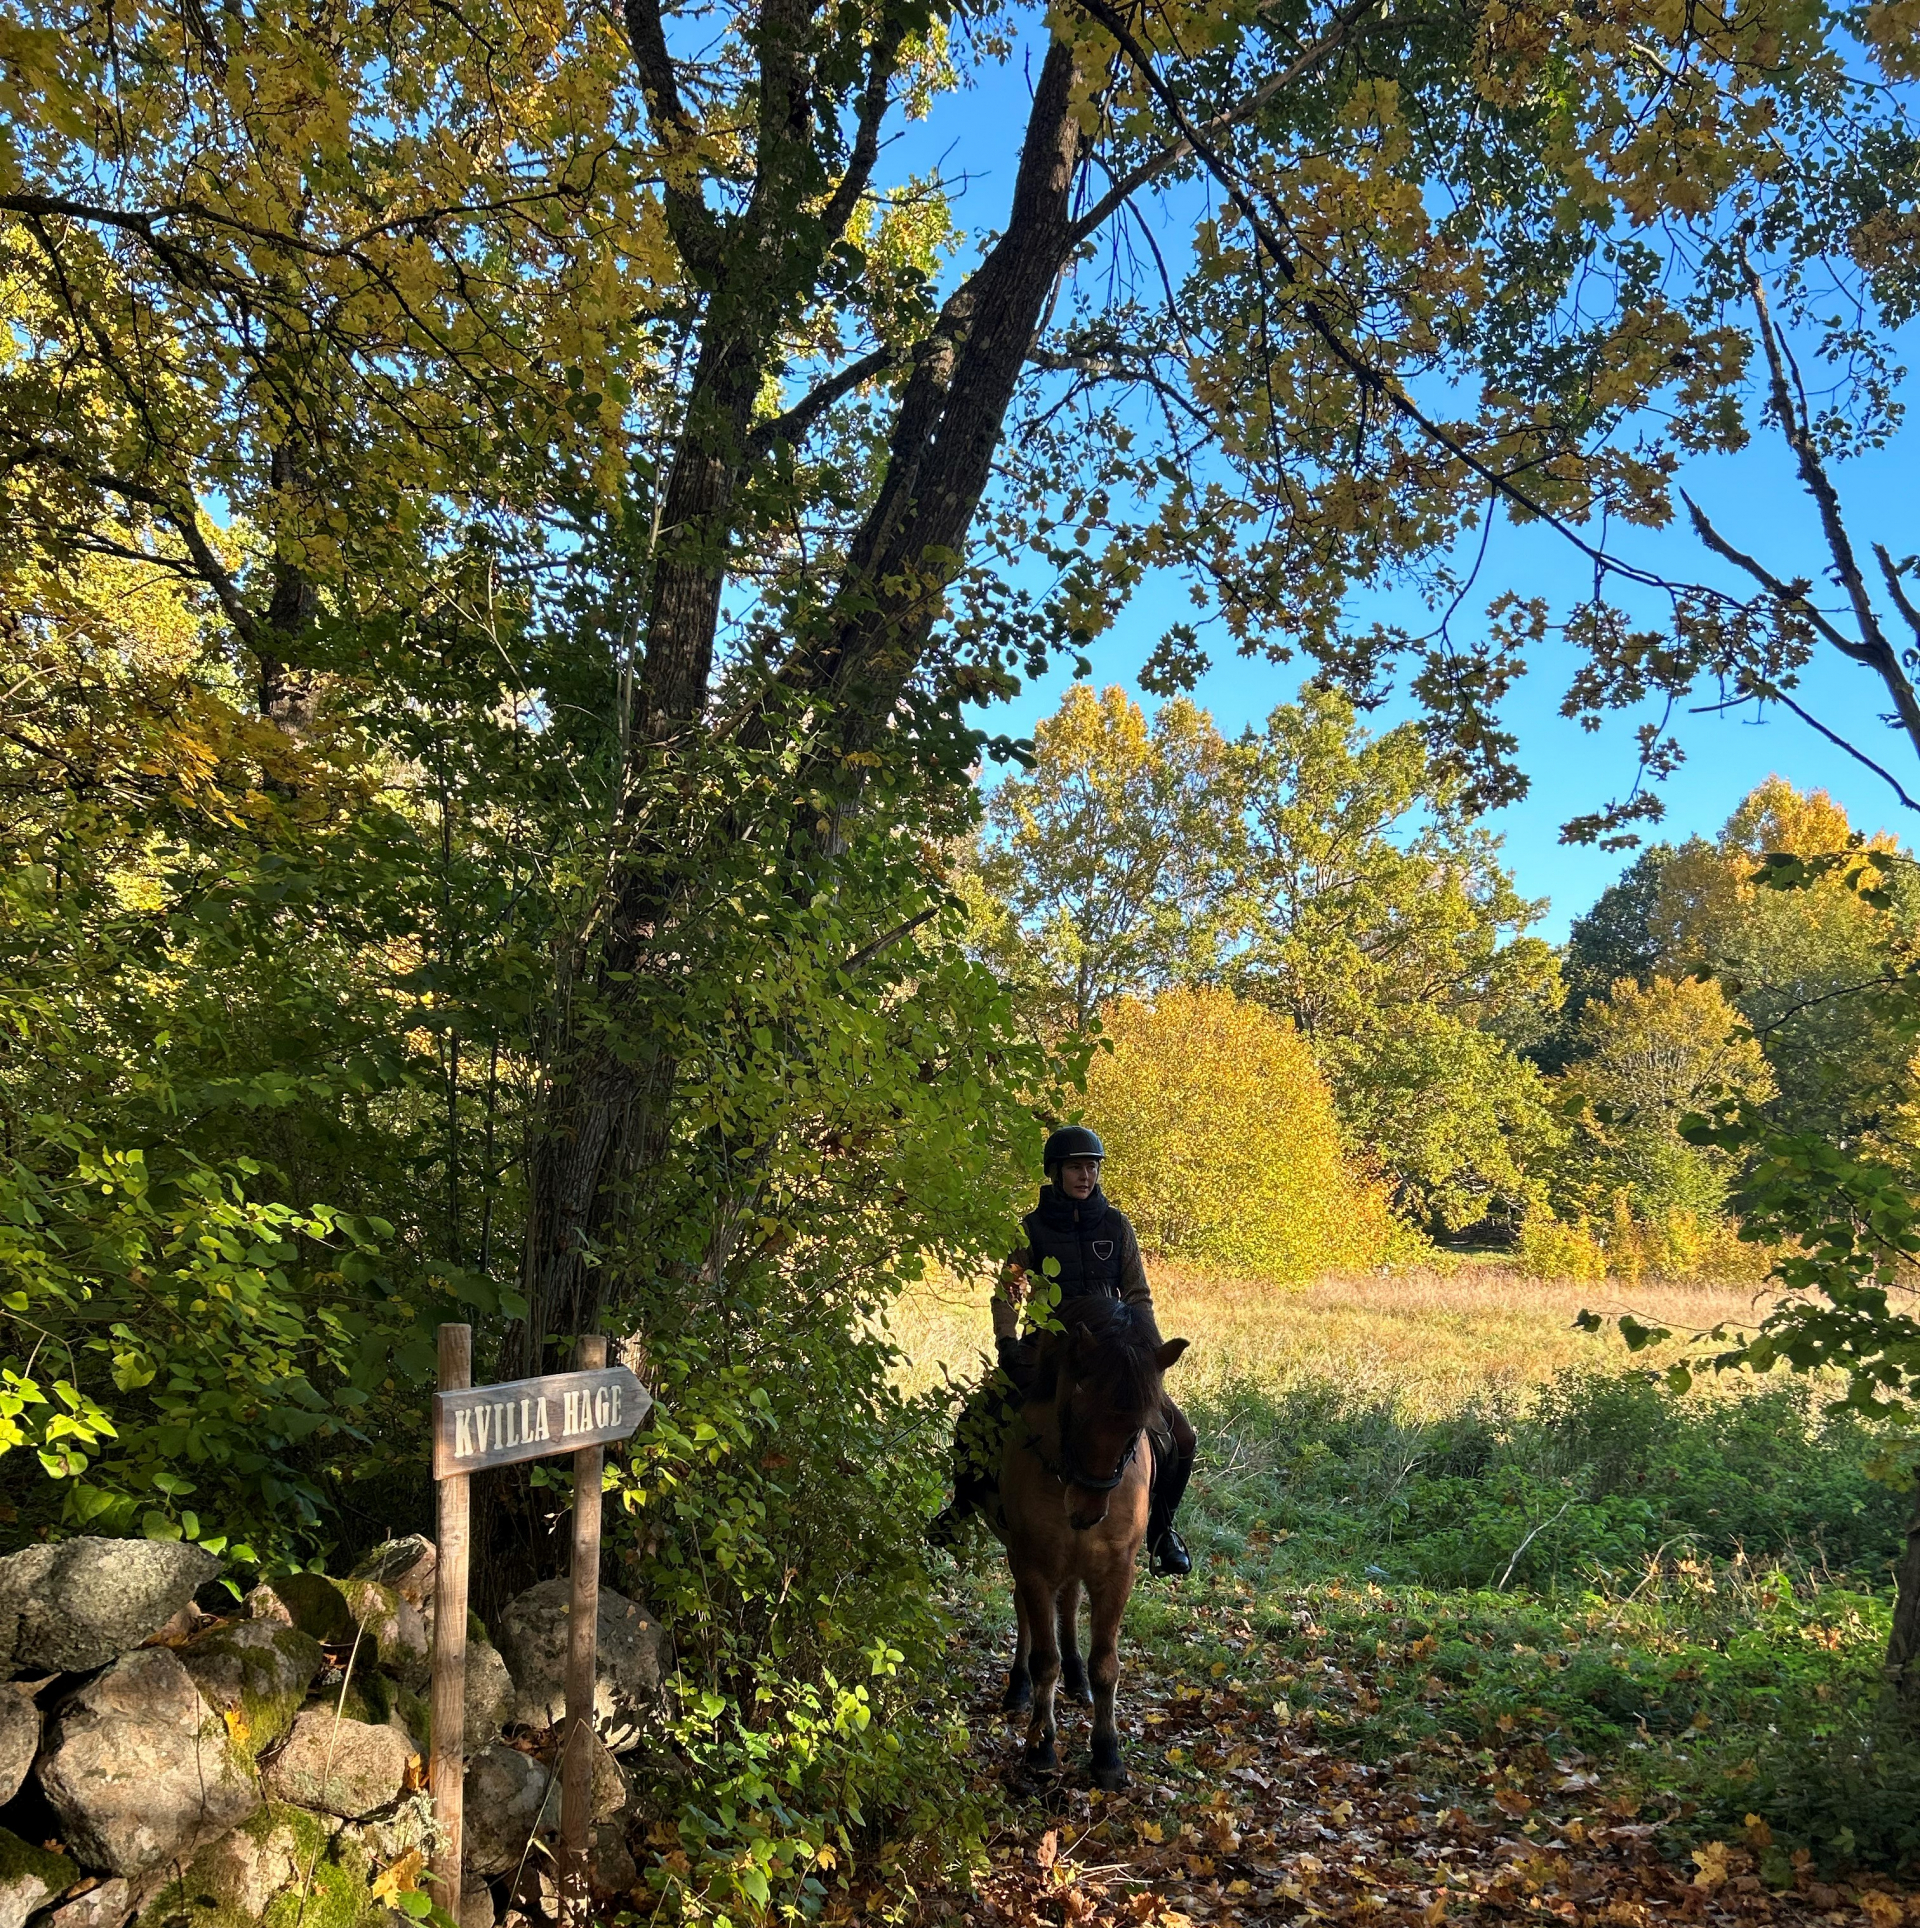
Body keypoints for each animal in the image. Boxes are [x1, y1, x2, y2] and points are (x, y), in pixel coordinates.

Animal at [986, 1295, 1187, 1789]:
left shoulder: (1115, 1572)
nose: (1085, 1510)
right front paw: (1041, 1747)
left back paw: (1076, 1682)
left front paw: (1107, 1755)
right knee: (1027, 1613)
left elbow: (1105, 1664)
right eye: (1074, 1411)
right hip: (1021, 1556)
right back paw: (1018, 1688)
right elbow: (1044, 1657)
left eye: (1138, 1427)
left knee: (1070, 1605)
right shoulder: (1034, 1565)